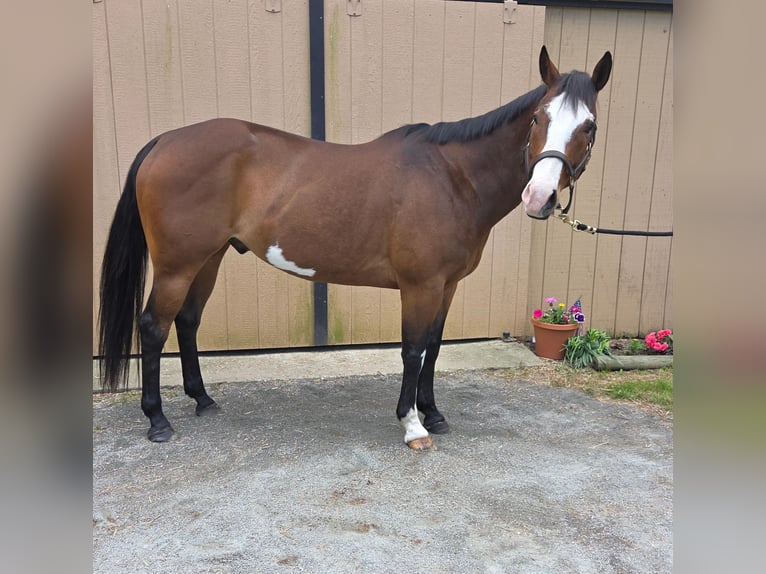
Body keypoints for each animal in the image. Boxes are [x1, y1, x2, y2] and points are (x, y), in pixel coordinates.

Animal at [98, 46, 612, 449]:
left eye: (589, 127)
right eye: (539, 118)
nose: (539, 198)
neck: (452, 178)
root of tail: (165, 140)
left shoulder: (446, 286)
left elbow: (435, 347)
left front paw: (434, 414)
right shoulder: (421, 286)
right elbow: (412, 350)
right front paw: (413, 425)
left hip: (209, 257)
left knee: (187, 321)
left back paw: (203, 400)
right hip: (177, 265)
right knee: (154, 327)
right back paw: (157, 420)